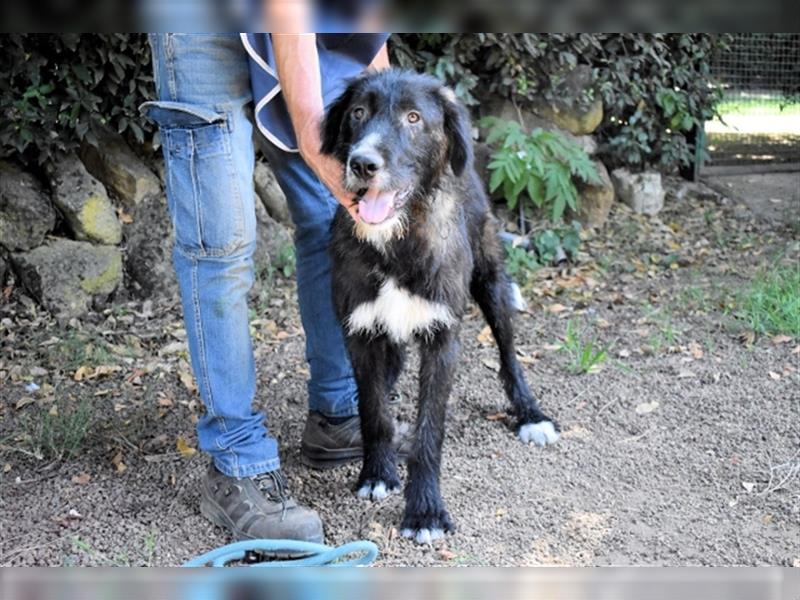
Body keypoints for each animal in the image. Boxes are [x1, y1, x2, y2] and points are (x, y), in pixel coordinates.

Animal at [322, 70, 560, 544]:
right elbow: (373, 412)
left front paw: (425, 511)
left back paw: (530, 413)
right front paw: (378, 473)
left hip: (491, 281)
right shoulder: (359, 331)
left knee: (509, 356)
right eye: (357, 112)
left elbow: (430, 431)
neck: (396, 243)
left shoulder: (444, 336)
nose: (362, 164)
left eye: (413, 117)